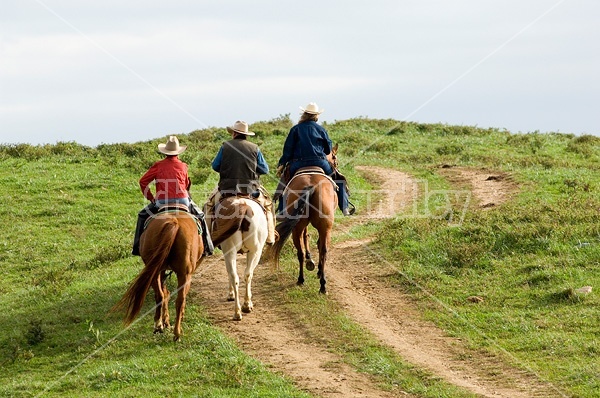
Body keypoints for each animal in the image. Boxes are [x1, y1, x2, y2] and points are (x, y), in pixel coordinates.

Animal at [112, 211, 204, 342]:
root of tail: (174, 223)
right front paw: (167, 320)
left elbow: (165, 292)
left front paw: (166, 320)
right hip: (183, 274)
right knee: (177, 299)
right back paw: (173, 331)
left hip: (158, 270)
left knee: (162, 296)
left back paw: (160, 326)